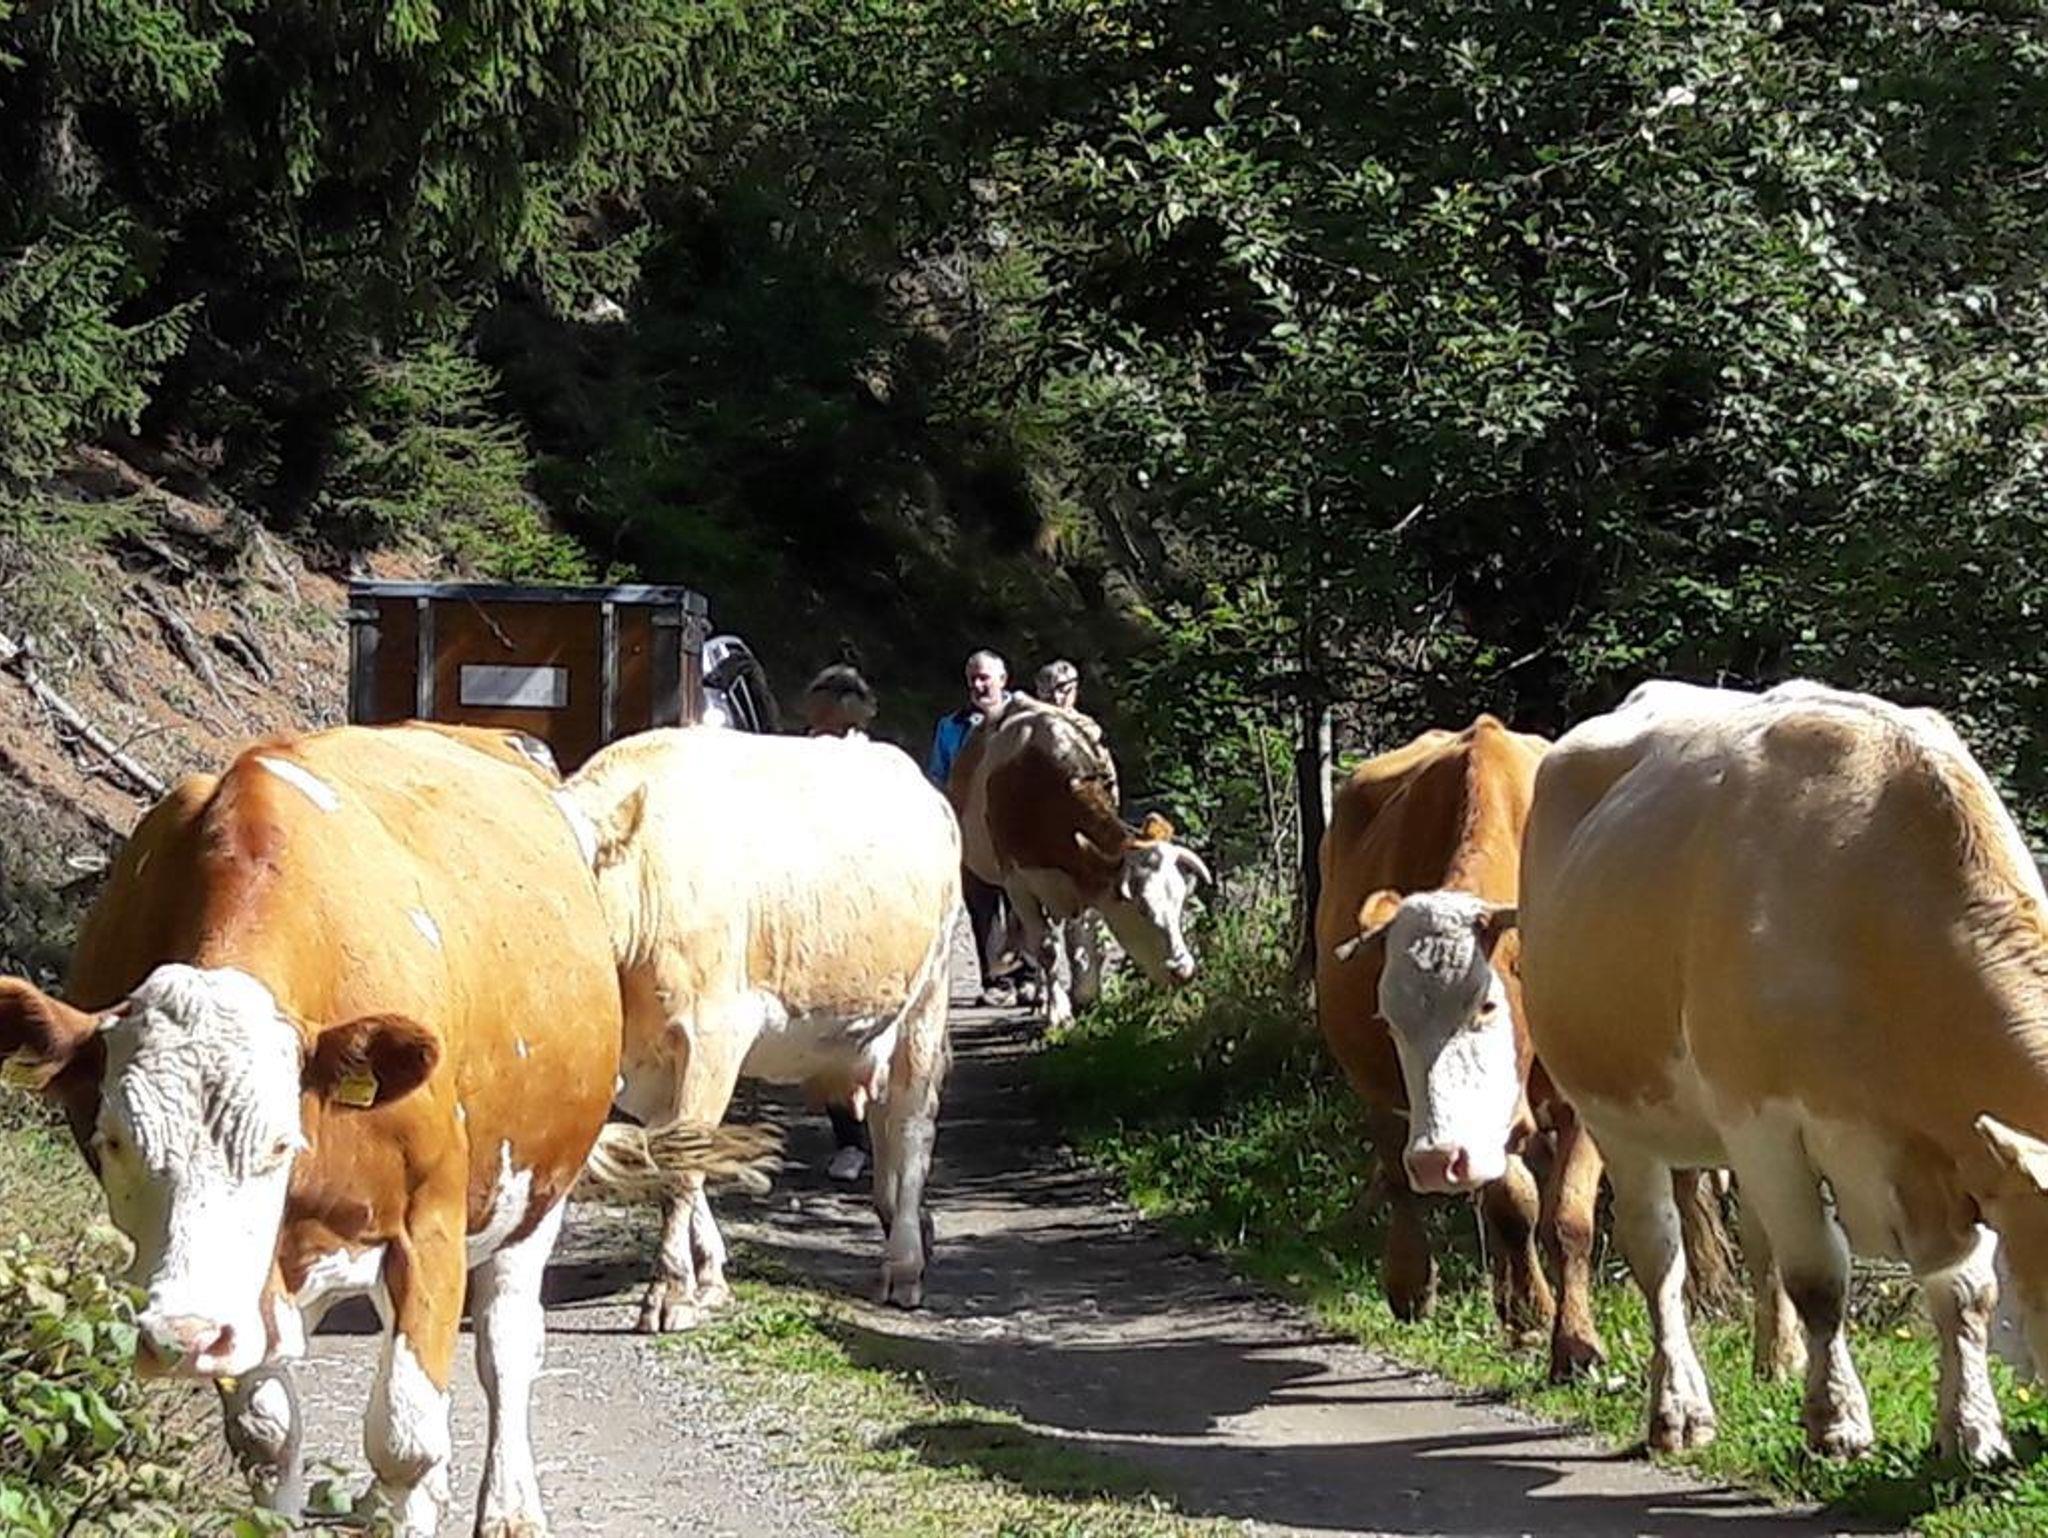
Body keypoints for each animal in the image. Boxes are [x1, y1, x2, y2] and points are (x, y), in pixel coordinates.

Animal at [0, 723, 753, 1536]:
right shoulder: (252, 1277)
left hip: (537, 1190)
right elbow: (269, 1433)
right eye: (112, 1141)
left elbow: (406, 1434)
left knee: (505, 1346)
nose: (184, 1336)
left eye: (279, 1145)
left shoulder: (431, 1222)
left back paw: (508, 1504)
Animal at [563, 725, 959, 1327]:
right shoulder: (642, 1065)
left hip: (925, 1002)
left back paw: (904, 1263)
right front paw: (707, 1276)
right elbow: (674, 1155)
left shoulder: (712, 1036)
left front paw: (671, 1292)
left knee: (912, 1125)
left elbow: (682, 1167)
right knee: (885, 1120)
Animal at [949, 695, 1210, 1026]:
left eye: (1180, 903)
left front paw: (1085, 995)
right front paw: (1058, 1012)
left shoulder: (1088, 876)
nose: (1184, 971)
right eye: (1141, 907)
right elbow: (1046, 947)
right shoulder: (1017, 882)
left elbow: (1083, 942)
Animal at [1315, 716, 1608, 1381]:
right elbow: (1514, 1204)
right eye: (1389, 1019)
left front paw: (1575, 1343)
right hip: (1379, 1094)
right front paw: (1531, 1316)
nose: (1437, 1159)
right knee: (1399, 1176)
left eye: (1487, 1005)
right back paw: (1414, 1284)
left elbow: (1568, 1216)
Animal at [1503, 678, 2048, 1465]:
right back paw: (1678, 1409)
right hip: (1614, 1113)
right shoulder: (1763, 1119)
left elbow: (1966, 1291)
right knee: (1658, 1251)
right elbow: (1819, 1277)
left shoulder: (1951, 1152)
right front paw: (1837, 1422)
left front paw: (1971, 1429)